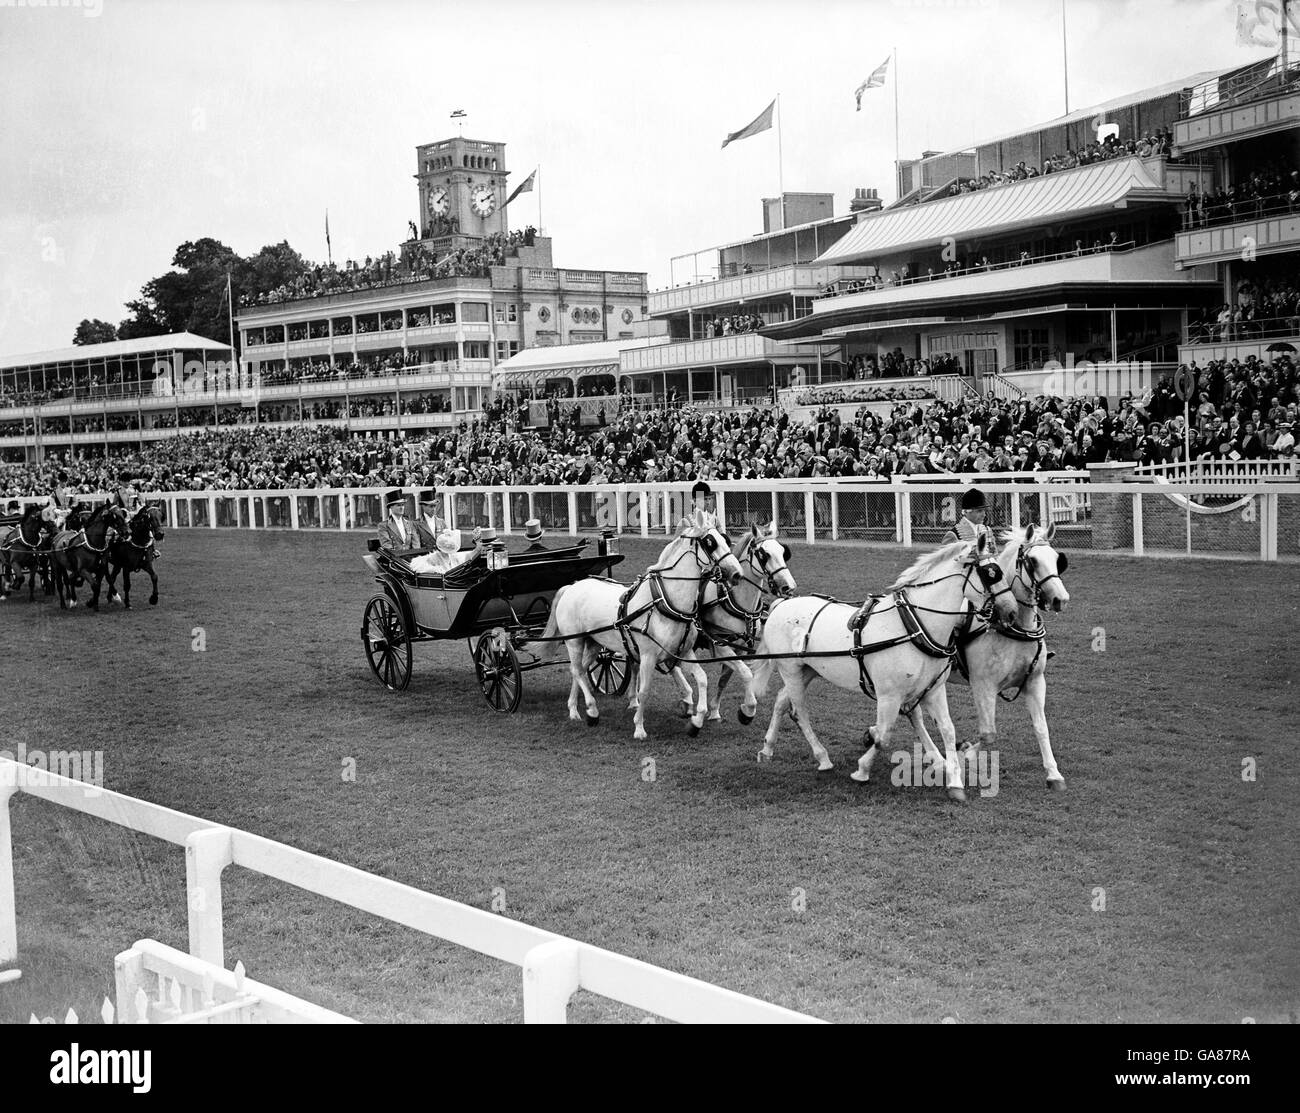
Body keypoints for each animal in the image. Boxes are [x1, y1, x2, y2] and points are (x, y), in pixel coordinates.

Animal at [538, 509, 743, 738]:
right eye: (710, 542)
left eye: (725, 540)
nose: (737, 573)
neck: (665, 602)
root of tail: (572, 586)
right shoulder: (647, 656)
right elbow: (644, 691)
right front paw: (639, 727)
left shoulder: (683, 653)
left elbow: (702, 679)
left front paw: (696, 721)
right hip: (574, 641)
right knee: (576, 670)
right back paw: (591, 710)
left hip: (594, 643)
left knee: (580, 670)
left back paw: (574, 709)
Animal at [754, 533, 1013, 800]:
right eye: (991, 573)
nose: (1011, 611)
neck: (913, 626)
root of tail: (781, 604)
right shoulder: (889, 695)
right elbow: (884, 736)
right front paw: (862, 770)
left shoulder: (933, 690)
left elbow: (948, 730)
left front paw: (955, 782)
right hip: (791, 671)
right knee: (799, 712)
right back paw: (822, 757)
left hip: (807, 670)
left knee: (782, 701)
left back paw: (767, 749)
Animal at [941, 522, 1071, 790]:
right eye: (1032, 561)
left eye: (1057, 559)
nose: (1060, 599)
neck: (1012, 627)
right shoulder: (983, 686)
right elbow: (988, 734)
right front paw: (964, 752)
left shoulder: (1035, 682)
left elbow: (1041, 728)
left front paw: (1054, 774)